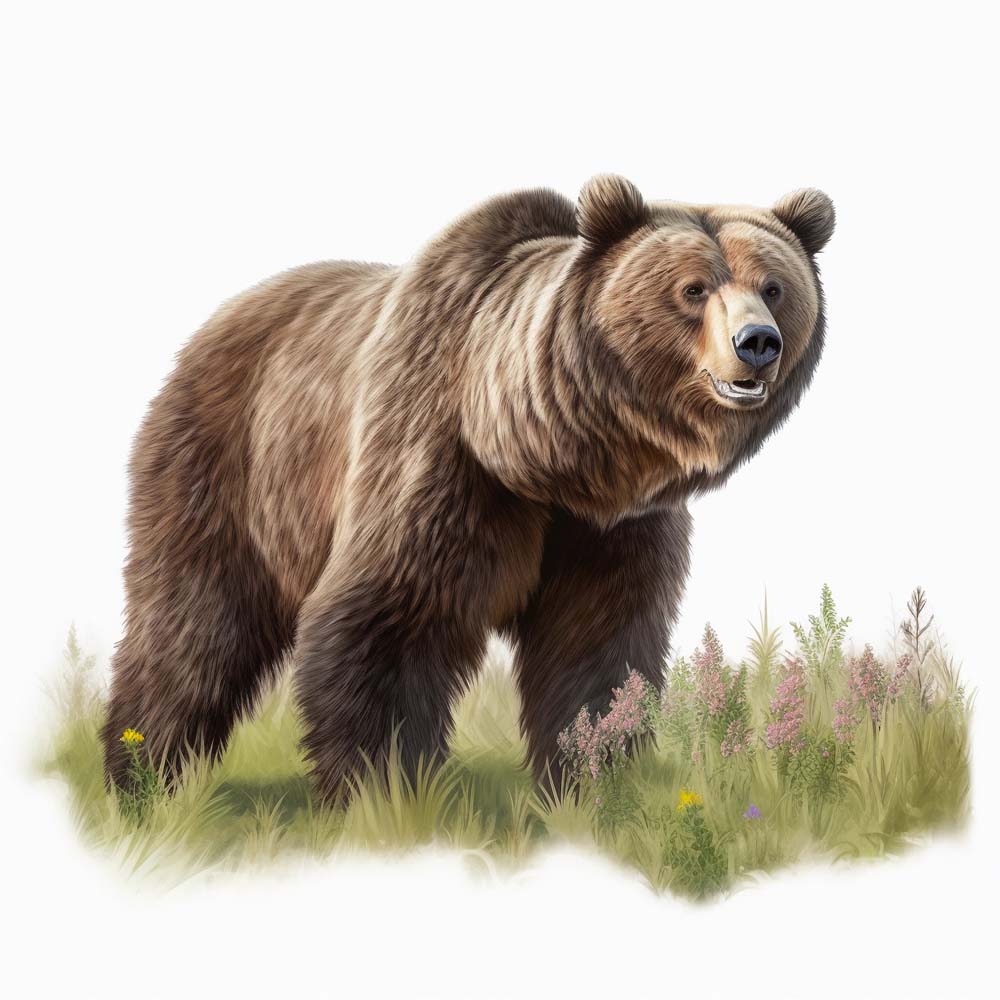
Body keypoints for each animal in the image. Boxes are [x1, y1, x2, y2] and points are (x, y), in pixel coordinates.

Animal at [101, 175, 834, 802]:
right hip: (227, 463)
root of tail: (220, 318)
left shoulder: (613, 526)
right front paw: (384, 787)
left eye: (773, 287)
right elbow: (391, 620)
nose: (757, 342)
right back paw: (141, 769)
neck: (555, 458)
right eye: (691, 289)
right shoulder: (441, 461)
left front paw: (592, 774)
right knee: (194, 623)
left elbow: (600, 645)